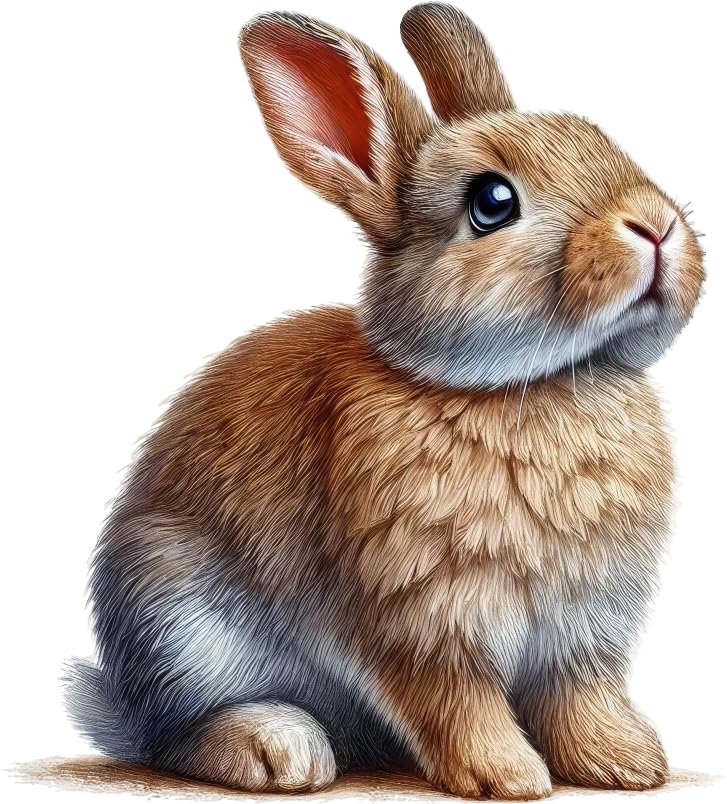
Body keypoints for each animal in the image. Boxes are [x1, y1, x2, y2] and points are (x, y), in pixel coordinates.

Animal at [66, 3, 704, 800]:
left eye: (601, 140)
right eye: (492, 202)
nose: (655, 224)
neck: (532, 385)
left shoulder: (582, 630)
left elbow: (579, 696)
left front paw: (625, 762)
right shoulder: (420, 623)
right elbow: (457, 703)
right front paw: (505, 775)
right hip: (176, 621)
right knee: (174, 739)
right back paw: (277, 749)